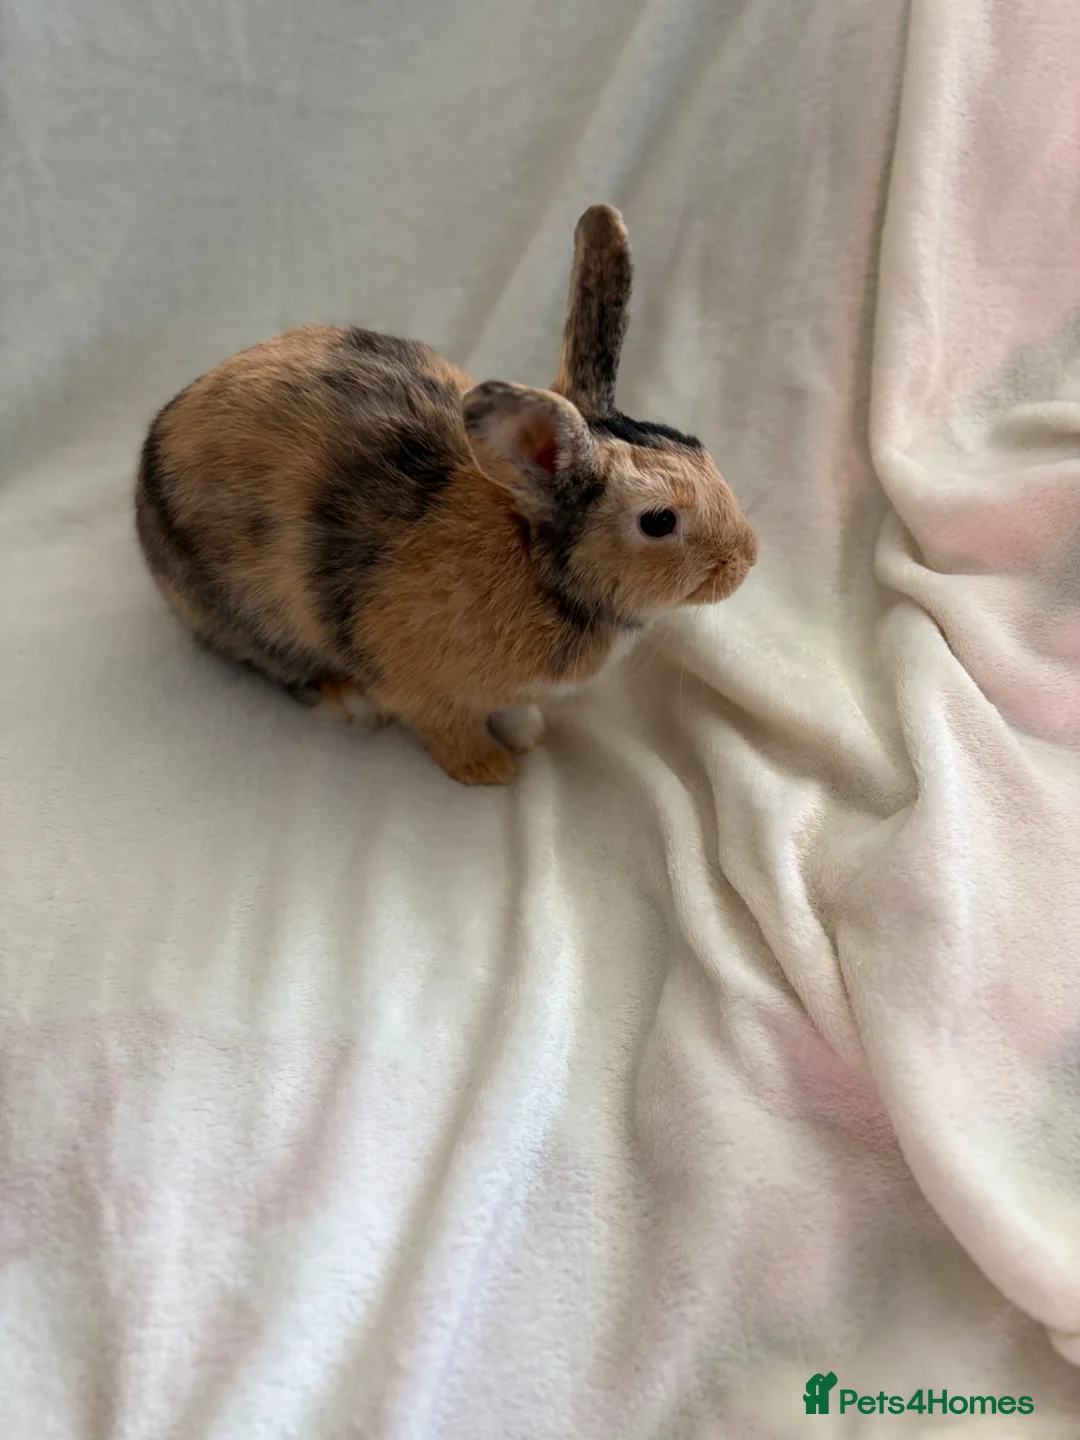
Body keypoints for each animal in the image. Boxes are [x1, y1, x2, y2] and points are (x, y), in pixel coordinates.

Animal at [135, 204, 757, 785]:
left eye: (695, 443)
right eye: (659, 521)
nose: (747, 559)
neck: (537, 563)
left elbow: (508, 709)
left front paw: (526, 732)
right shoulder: (415, 683)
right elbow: (447, 726)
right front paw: (492, 770)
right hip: (247, 613)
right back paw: (352, 704)